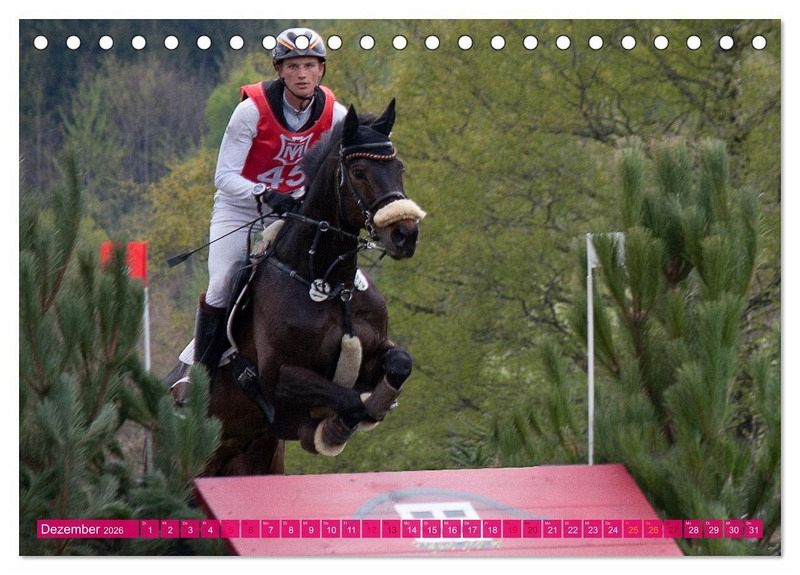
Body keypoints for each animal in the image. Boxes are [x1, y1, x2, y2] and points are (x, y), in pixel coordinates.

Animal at [203, 100, 426, 476]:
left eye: (400, 167)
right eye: (359, 172)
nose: (405, 235)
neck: (331, 284)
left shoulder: (377, 350)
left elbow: (400, 363)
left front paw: (377, 406)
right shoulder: (279, 377)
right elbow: (348, 402)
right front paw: (332, 430)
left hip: (259, 455)